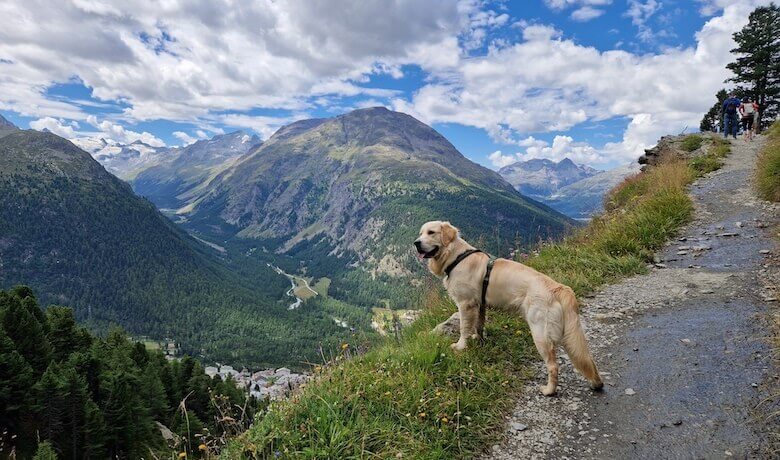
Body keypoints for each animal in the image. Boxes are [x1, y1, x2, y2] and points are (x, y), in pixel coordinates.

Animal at [414, 220, 604, 396]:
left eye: (431, 232)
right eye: (421, 233)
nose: (416, 243)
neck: (456, 256)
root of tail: (558, 288)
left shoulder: (465, 304)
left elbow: (463, 328)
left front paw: (460, 346)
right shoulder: (479, 304)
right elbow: (478, 325)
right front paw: (478, 339)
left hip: (540, 333)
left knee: (553, 365)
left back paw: (549, 390)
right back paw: (596, 383)